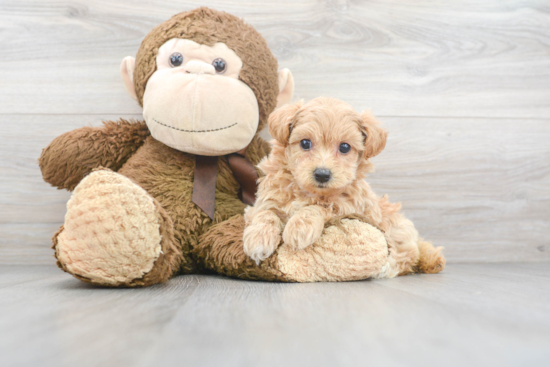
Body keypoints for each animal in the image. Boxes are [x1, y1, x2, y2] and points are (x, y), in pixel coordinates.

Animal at [244, 97, 446, 276]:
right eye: (305, 143)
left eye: (345, 147)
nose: (322, 174)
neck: (309, 192)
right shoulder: (263, 201)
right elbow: (266, 213)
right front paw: (258, 238)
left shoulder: (351, 206)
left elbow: (321, 207)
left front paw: (299, 227)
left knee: (406, 256)